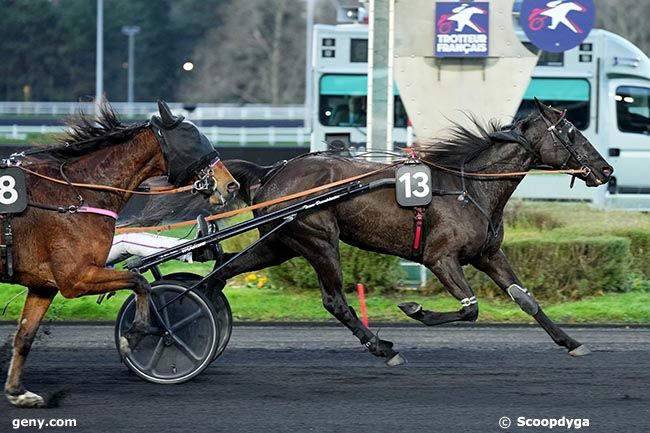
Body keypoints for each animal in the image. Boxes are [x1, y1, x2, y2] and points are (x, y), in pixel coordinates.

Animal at [0, 100, 238, 404]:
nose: (231, 185)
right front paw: (134, 336)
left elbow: (24, 336)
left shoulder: (44, 285)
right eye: (193, 138)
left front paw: (17, 392)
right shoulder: (75, 279)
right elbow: (140, 281)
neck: (74, 195)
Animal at [209, 100, 612, 364]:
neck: (469, 188)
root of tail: (272, 172)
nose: (606, 170)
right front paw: (415, 309)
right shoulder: (441, 258)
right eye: (571, 133)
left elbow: (526, 299)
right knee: (335, 300)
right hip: (318, 240)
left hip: (280, 243)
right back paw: (382, 348)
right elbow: (470, 308)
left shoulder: (487, 254)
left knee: (223, 269)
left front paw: (570, 341)